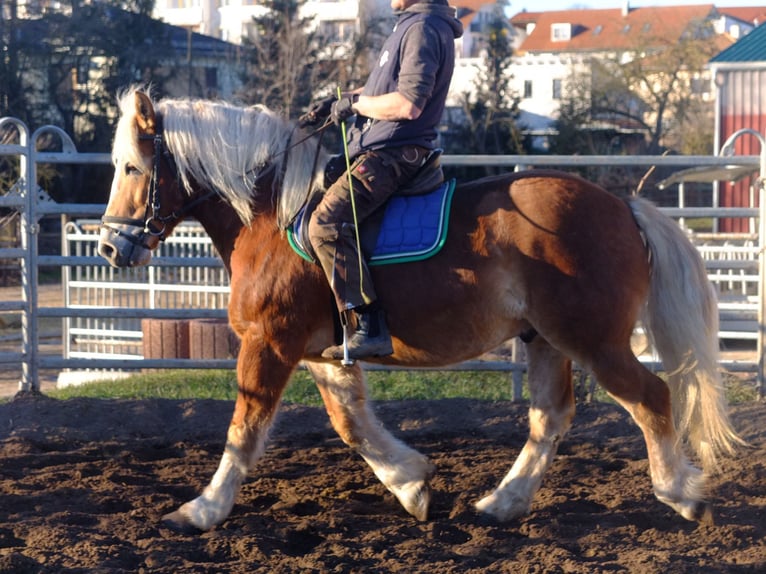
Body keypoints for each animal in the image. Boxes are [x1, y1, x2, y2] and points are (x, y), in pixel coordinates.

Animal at [99, 89, 740, 536]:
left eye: (131, 168)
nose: (109, 247)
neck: (272, 218)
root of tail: (623, 205)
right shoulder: (322, 351)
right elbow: (351, 423)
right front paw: (411, 483)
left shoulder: (270, 342)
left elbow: (244, 429)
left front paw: (202, 510)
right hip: (544, 339)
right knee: (550, 418)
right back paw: (502, 503)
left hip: (593, 339)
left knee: (651, 398)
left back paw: (682, 494)